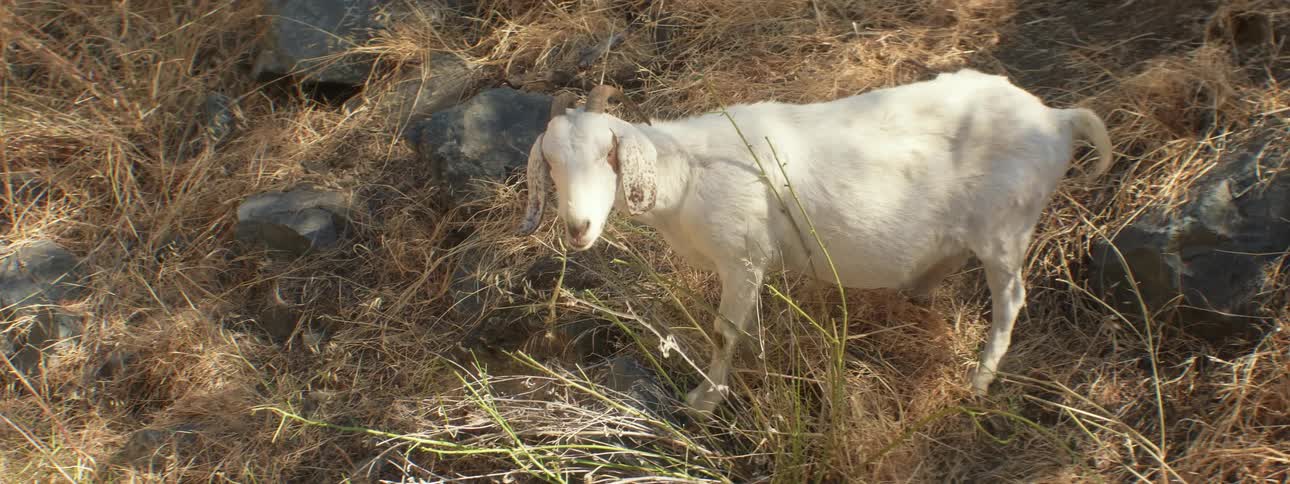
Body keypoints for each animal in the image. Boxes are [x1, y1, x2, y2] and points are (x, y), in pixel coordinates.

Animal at [518, 68, 1114, 414]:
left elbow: (724, 332)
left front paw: (705, 400)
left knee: (1010, 300)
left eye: (608, 153)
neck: (688, 173)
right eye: (549, 162)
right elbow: (749, 329)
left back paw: (979, 381)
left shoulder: (741, 256)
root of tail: (1058, 120)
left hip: (1006, 229)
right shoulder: (752, 265)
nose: (578, 229)